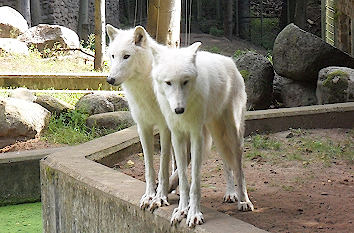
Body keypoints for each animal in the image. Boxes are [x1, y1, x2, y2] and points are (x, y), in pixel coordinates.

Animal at [151, 41, 253, 228]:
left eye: (185, 81)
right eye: (168, 83)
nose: (178, 110)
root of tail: (230, 61)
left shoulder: (196, 137)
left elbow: (195, 184)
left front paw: (194, 214)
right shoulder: (177, 136)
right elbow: (184, 181)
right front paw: (181, 210)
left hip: (232, 135)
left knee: (238, 169)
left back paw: (243, 201)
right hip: (218, 137)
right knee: (227, 165)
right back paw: (230, 193)